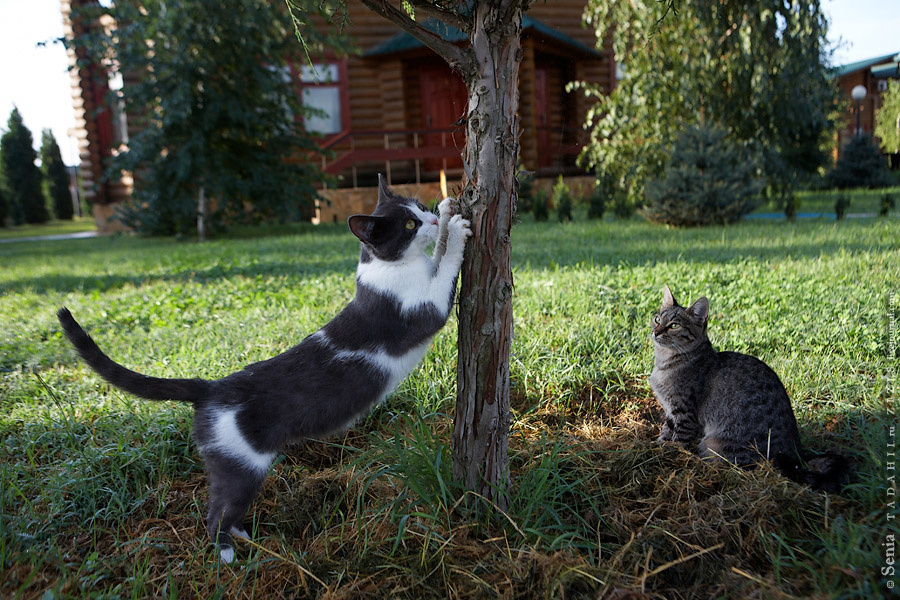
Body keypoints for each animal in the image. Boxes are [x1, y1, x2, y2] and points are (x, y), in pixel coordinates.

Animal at [58, 178, 472, 564]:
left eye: (420, 208)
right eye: (408, 225)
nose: (431, 217)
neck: (388, 269)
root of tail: (211, 388)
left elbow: (437, 255)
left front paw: (448, 213)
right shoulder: (423, 308)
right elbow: (443, 275)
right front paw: (457, 232)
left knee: (225, 506)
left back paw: (244, 536)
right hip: (242, 465)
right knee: (216, 512)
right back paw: (227, 554)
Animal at [648, 286, 852, 492]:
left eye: (674, 325)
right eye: (657, 319)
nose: (656, 332)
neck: (665, 363)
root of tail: (796, 455)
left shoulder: (685, 414)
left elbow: (678, 442)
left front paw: (667, 458)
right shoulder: (671, 412)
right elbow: (665, 433)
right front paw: (657, 448)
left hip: (715, 445)